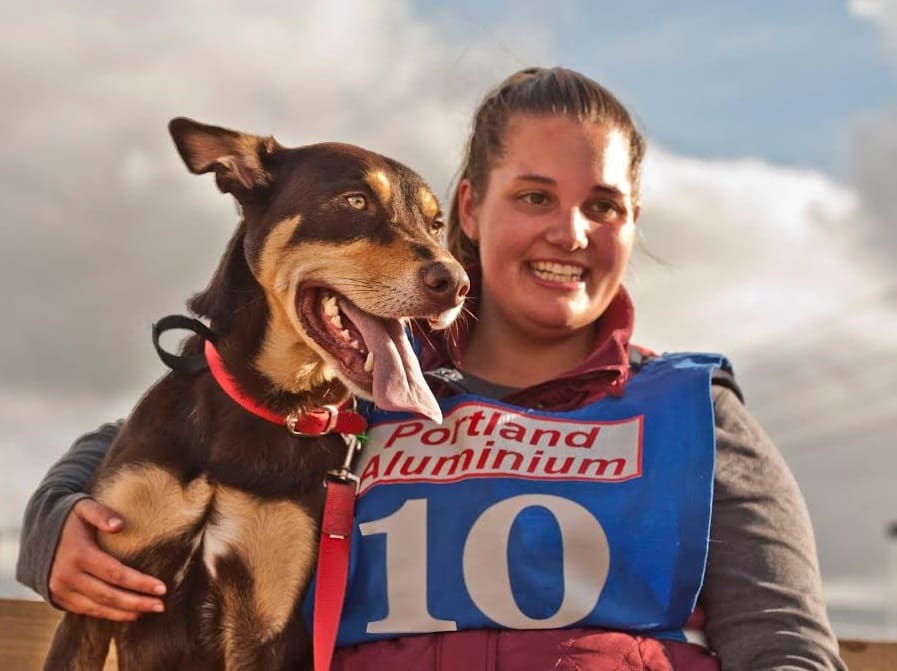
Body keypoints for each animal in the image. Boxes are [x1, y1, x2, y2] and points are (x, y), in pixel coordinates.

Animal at [43, 119, 468, 671]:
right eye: (355, 201)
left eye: (436, 224)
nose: (457, 283)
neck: (263, 401)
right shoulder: (95, 601)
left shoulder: (266, 625)